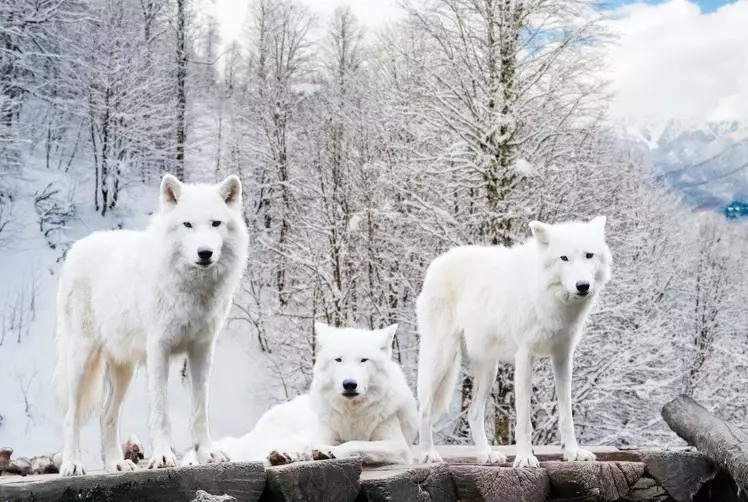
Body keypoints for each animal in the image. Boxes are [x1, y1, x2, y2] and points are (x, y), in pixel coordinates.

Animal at [52, 173, 249, 476]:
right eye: (188, 224)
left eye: (216, 223)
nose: (205, 253)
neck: (193, 290)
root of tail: (76, 247)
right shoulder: (159, 350)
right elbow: (161, 411)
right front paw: (163, 457)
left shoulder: (202, 350)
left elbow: (200, 410)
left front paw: (208, 454)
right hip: (81, 360)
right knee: (70, 415)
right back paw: (72, 464)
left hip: (125, 370)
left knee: (106, 416)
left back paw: (116, 464)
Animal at [181, 322, 418, 467]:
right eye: (339, 360)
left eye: (363, 360)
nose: (349, 384)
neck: (353, 413)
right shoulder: (324, 433)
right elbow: (332, 443)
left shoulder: (398, 446)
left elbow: (355, 444)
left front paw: (329, 451)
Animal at [416, 216, 612, 467]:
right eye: (564, 258)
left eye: (589, 255)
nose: (582, 285)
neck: (549, 298)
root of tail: (438, 261)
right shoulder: (524, 357)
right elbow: (524, 420)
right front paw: (525, 458)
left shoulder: (563, 357)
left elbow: (566, 414)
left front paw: (573, 453)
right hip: (442, 359)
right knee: (424, 409)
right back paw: (428, 454)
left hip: (488, 370)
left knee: (473, 414)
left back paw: (486, 455)